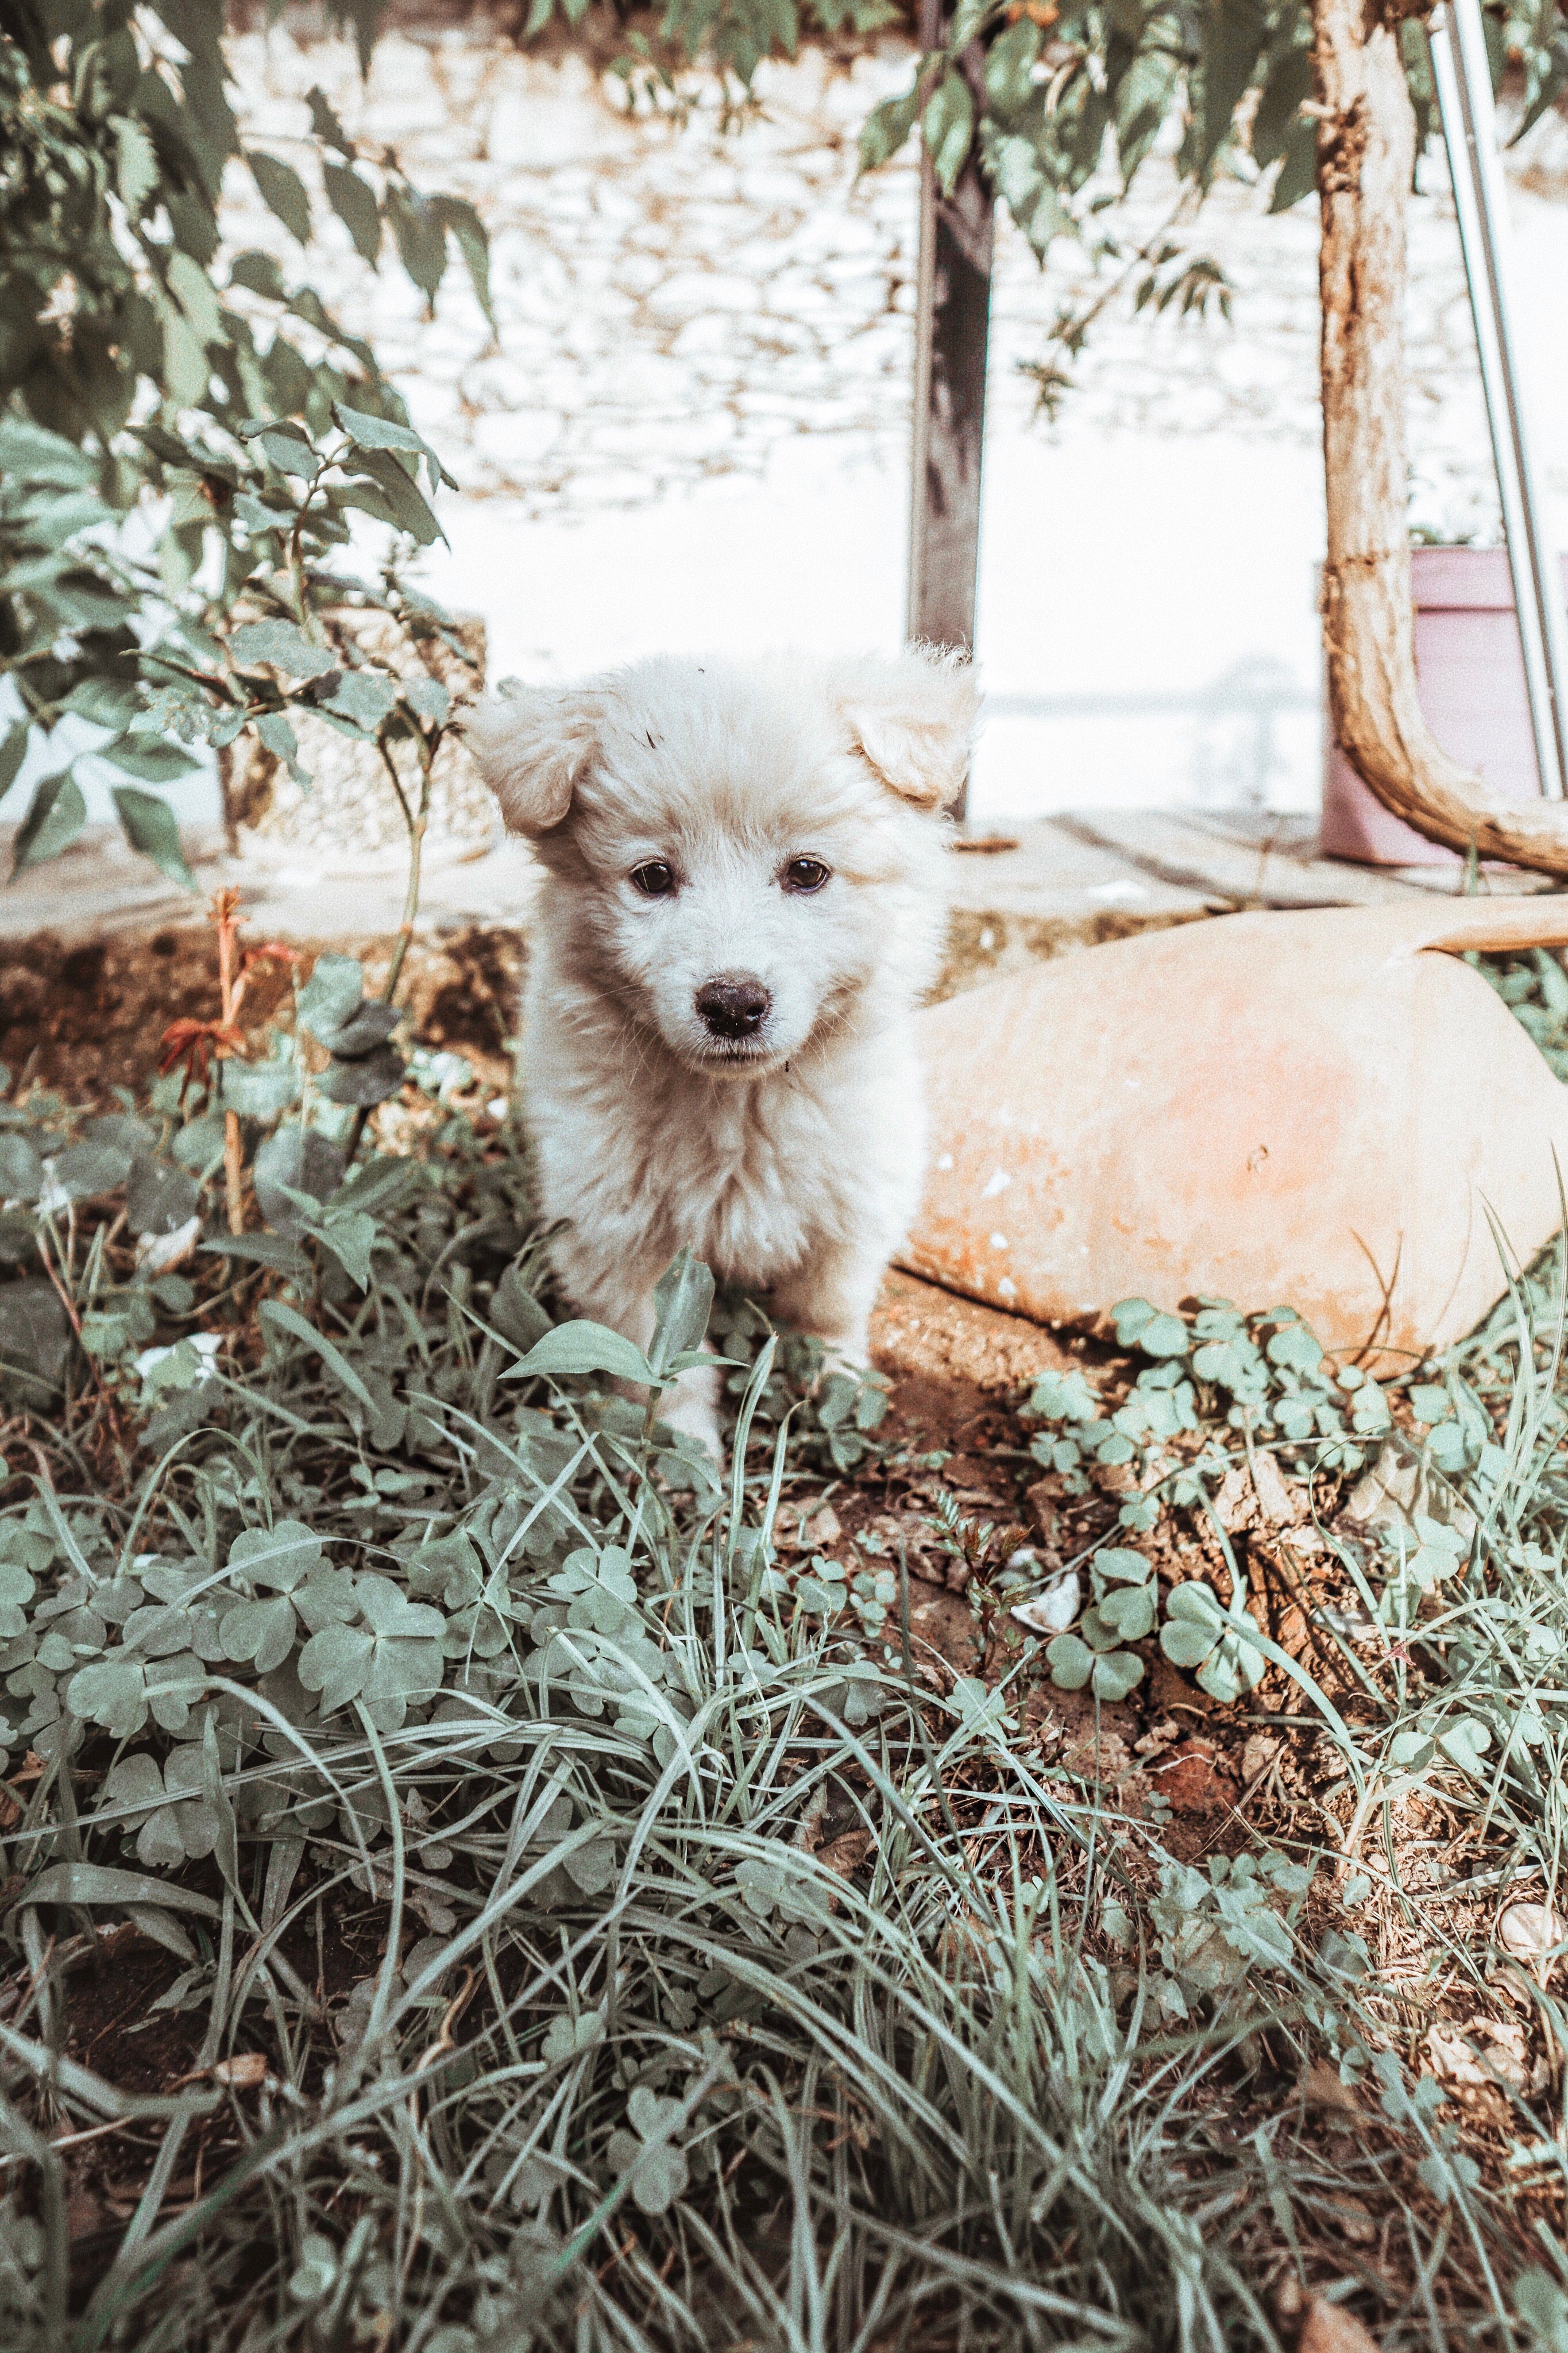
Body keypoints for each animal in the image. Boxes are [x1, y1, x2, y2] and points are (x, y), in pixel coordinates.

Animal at [465, 649, 982, 1449]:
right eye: (653, 877)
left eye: (807, 872)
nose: (733, 1004)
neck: (739, 1107)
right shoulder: (616, 1235)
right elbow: (659, 1364)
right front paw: (684, 1452)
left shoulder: (858, 1195)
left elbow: (827, 1304)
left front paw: (838, 1382)